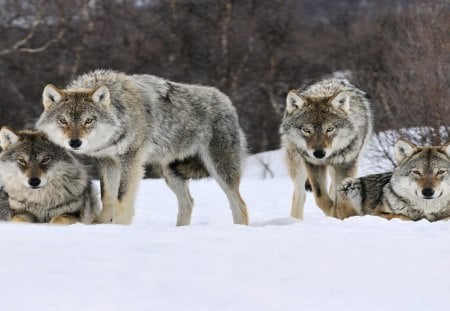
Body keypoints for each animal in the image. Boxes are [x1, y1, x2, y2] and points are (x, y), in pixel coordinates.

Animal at [36, 70, 250, 227]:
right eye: (63, 121)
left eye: (89, 120)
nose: (75, 143)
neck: (121, 113)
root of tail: (227, 102)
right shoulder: (107, 160)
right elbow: (108, 196)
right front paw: (102, 224)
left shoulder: (130, 159)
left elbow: (122, 197)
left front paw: (119, 226)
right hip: (171, 175)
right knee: (188, 202)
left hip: (219, 169)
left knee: (239, 204)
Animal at [282, 79, 372, 221]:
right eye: (306, 130)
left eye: (330, 129)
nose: (319, 153)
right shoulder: (313, 164)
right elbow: (321, 197)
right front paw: (332, 213)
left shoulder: (346, 165)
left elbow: (338, 196)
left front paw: (338, 213)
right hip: (298, 166)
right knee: (300, 195)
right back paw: (295, 220)